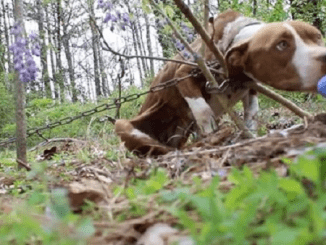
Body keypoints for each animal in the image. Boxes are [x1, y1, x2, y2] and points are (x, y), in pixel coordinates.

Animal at [114, 10, 326, 156]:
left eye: (317, 36)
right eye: (281, 45)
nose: (324, 56)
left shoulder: (249, 87)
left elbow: (251, 114)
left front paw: (251, 136)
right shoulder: (184, 72)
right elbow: (201, 108)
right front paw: (210, 125)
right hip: (123, 125)